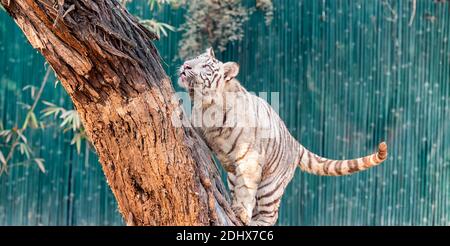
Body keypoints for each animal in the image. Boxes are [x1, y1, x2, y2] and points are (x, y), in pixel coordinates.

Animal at [178, 47, 388, 226]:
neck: (206, 105)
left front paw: (241, 212)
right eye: (195, 58)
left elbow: (245, 188)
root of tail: (294, 141)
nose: (186, 65)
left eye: (205, 66)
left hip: (270, 186)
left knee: (270, 214)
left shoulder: (249, 157)